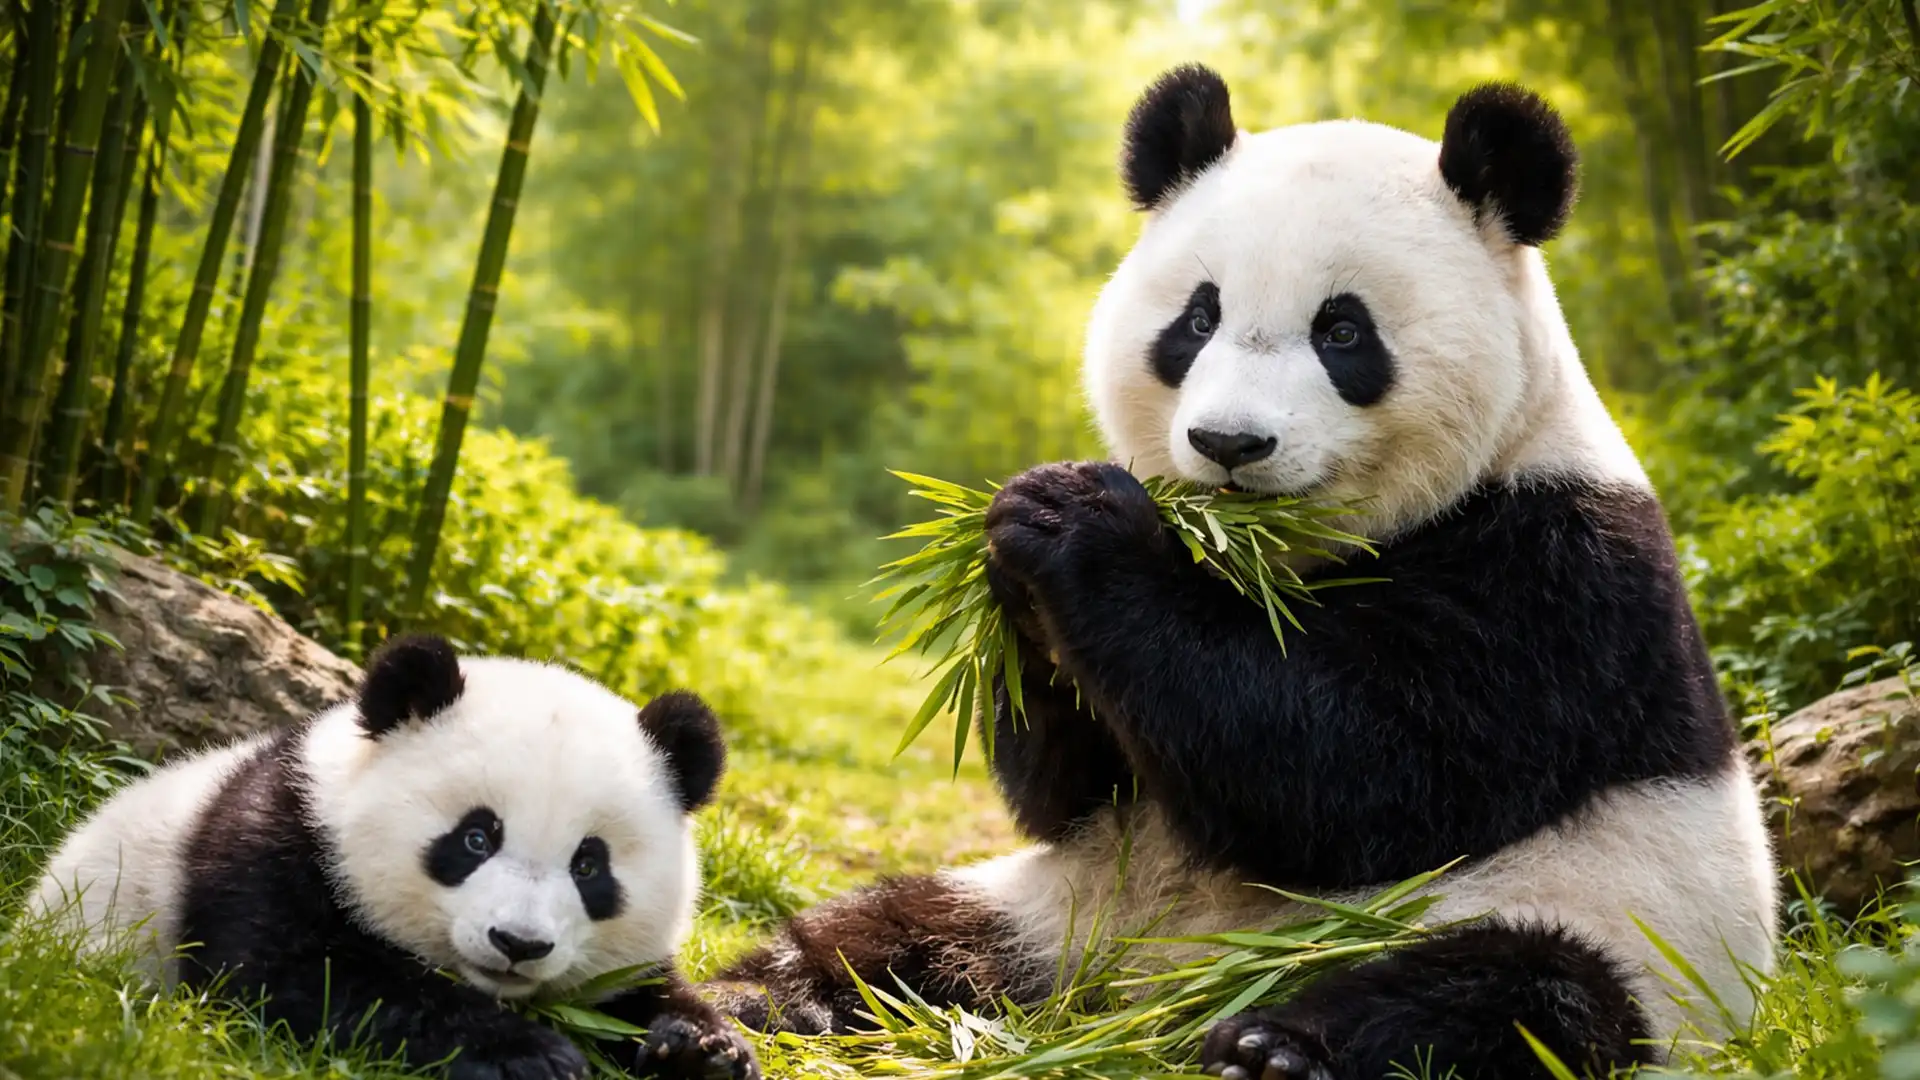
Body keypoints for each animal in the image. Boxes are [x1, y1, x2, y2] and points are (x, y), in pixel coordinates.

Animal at [30, 633, 758, 1080]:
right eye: (475, 838)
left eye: (589, 866)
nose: (518, 943)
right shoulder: (276, 847)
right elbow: (304, 978)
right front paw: (531, 1055)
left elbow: (642, 990)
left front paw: (703, 1049)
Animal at [700, 65, 1779, 1080]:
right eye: (1198, 318)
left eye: (1343, 331)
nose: (1229, 444)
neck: (1275, 554)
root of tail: (1141, 990)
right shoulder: (1104, 801)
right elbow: (1074, 787)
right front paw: (1013, 543)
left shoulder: (1552, 573)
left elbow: (1358, 772)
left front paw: (1082, 527)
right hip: (1059, 899)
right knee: (894, 935)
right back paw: (744, 1008)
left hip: (1594, 922)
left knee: (1516, 998)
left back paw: (1278, 1048)